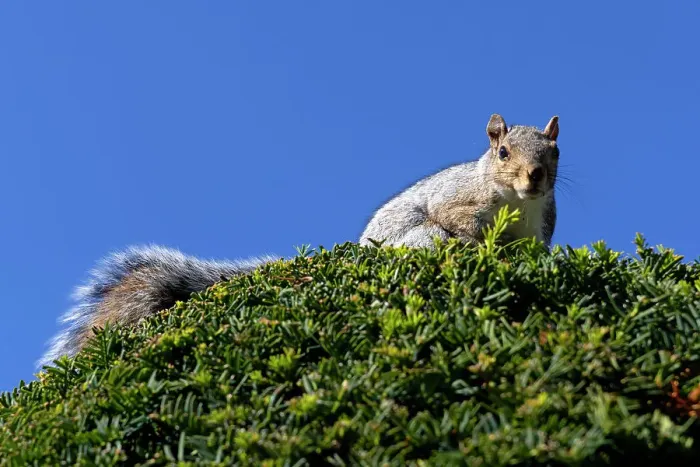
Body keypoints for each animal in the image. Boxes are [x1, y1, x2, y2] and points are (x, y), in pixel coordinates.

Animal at [39, 113, 560, 367]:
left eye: (555, 151)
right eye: (503, 151)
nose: (535, 177)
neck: (516, 203)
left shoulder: (540, 230)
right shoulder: (456, 203)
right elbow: (460, 225)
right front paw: (474, 247)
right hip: (418, 239)